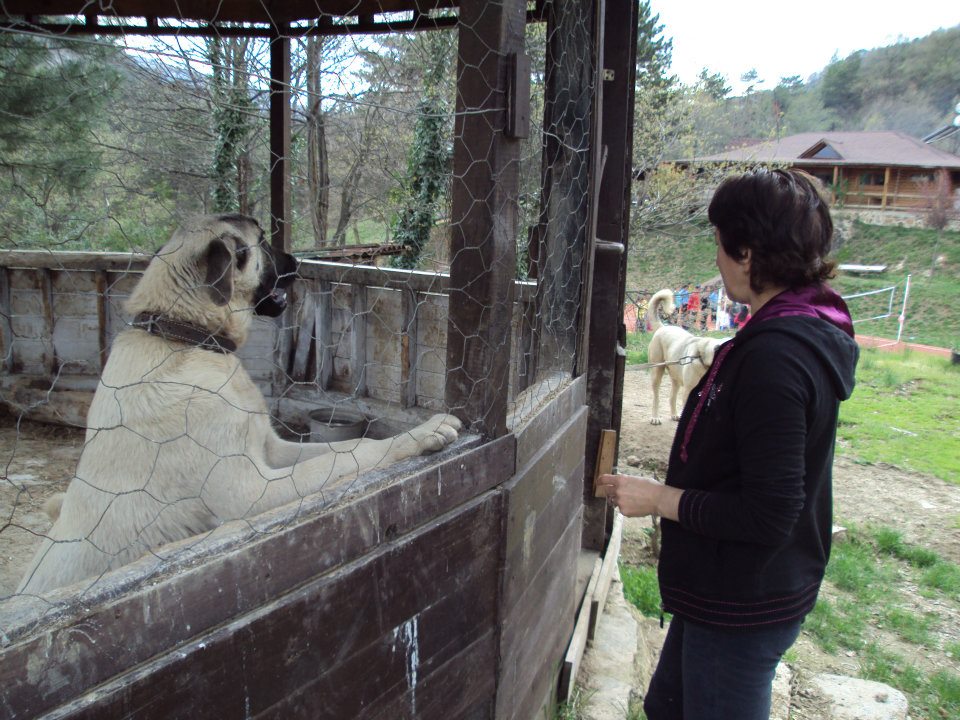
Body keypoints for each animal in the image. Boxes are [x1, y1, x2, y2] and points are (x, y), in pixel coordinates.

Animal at [17, 215, 462, 596]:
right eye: (263, 241)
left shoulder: (271, 449)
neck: (184, 339)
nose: (298, 260)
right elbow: (356, 454)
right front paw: (422, 435)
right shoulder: (252, 492)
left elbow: (347, 448)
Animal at [648, 286, 724, 422]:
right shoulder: (689, 392)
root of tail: (663, 327)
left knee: (672, 396)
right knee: (656, 397)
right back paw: (655, 417)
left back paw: (674, 414)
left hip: (675, 376)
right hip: (657, 371)